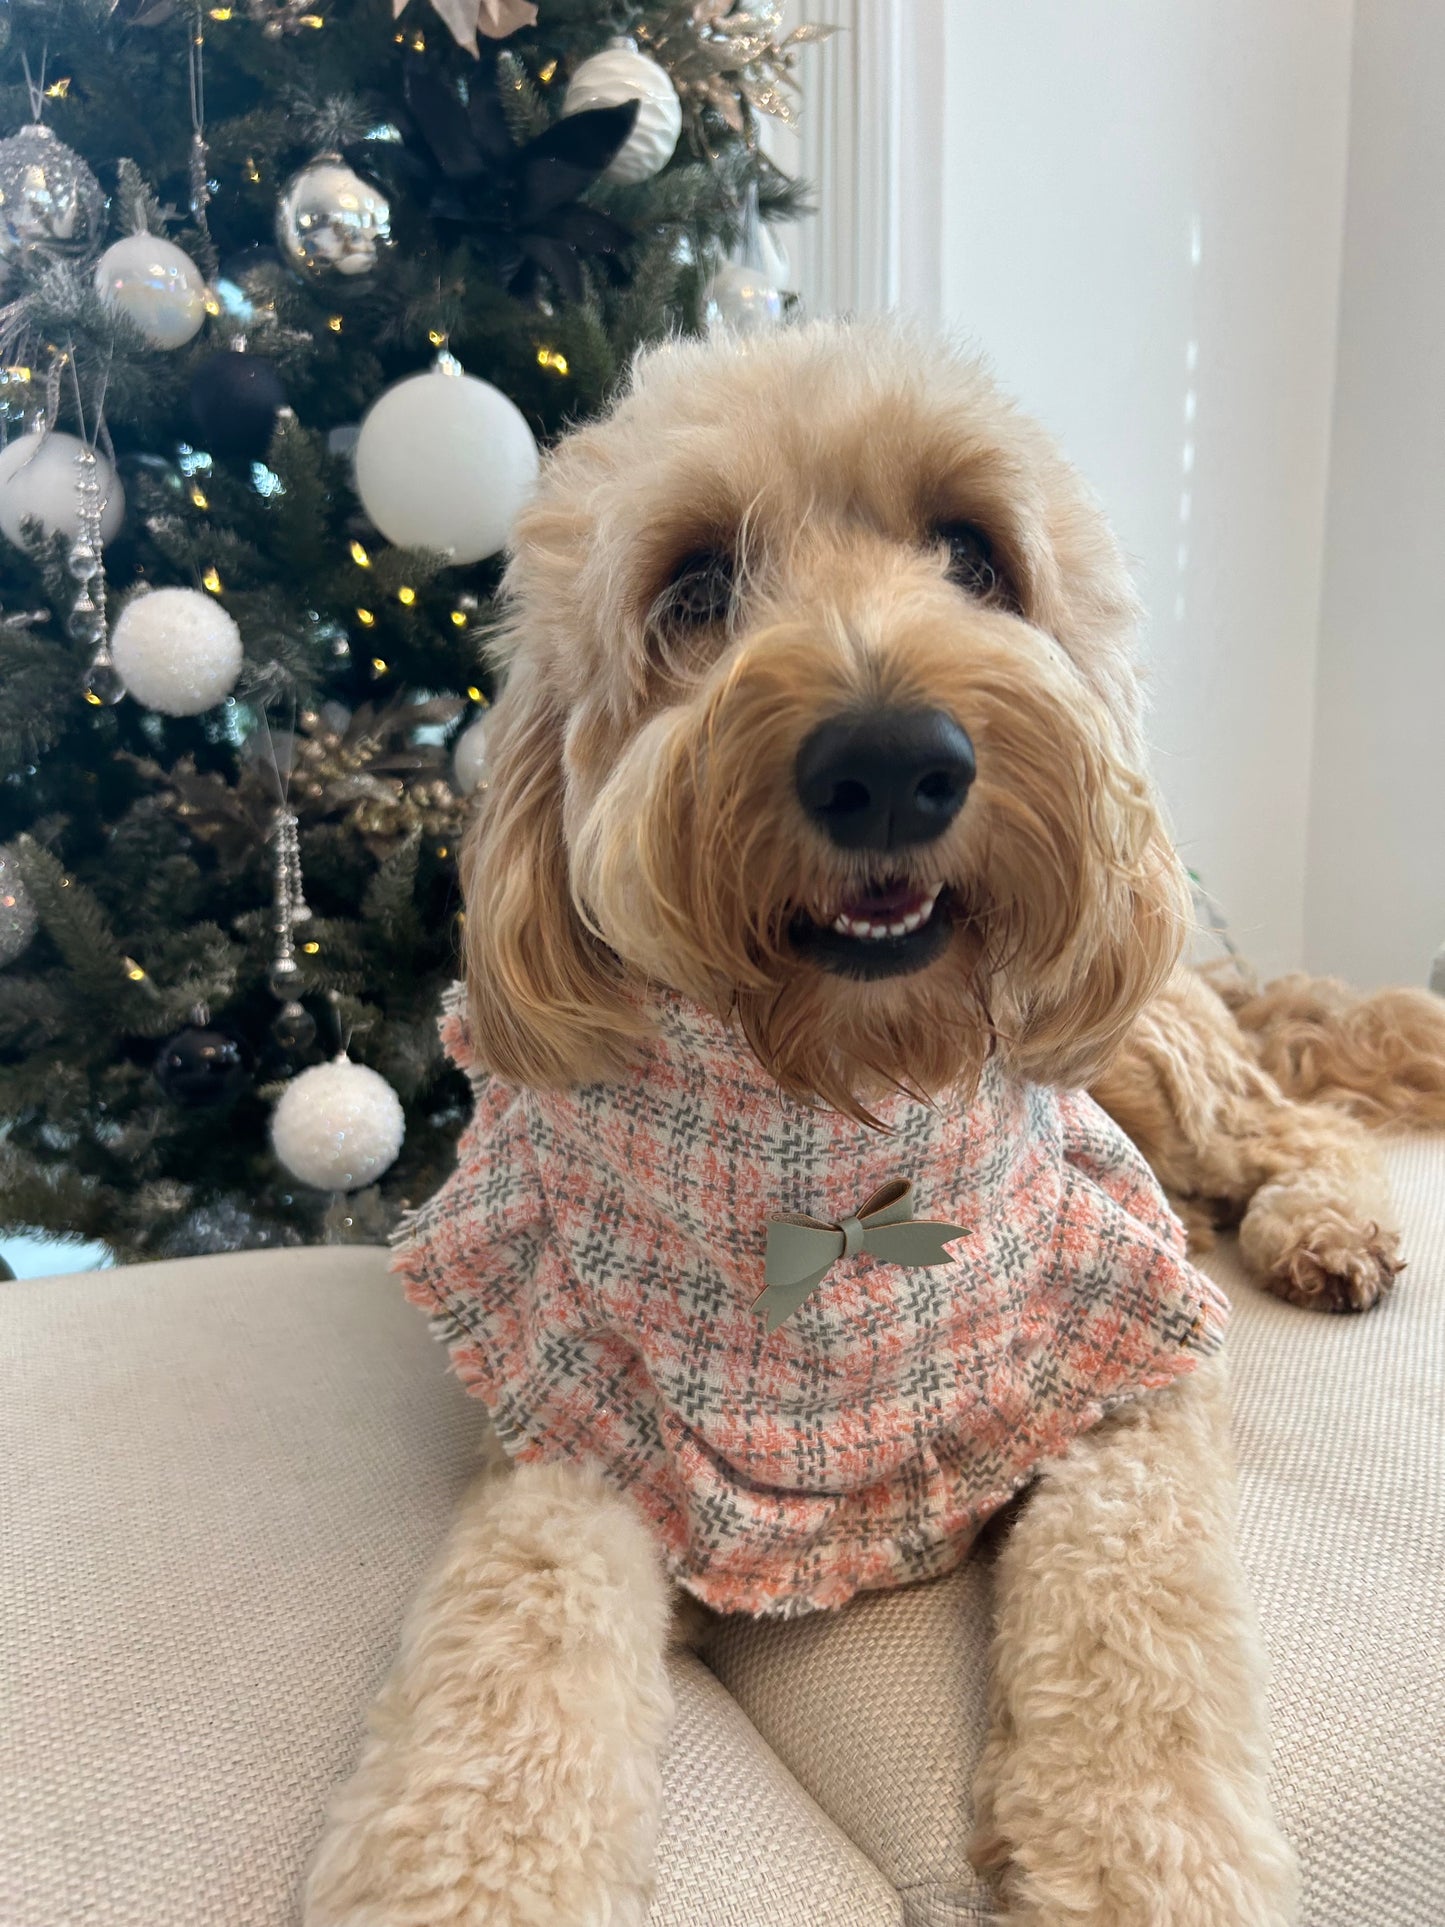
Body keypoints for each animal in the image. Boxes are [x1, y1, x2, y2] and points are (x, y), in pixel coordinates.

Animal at [300, 323, 1433, 1919]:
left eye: (972, 553)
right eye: (693, 588)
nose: (892, 761)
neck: (839, 1117)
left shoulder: (1131, 1365)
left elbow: (1137, 1626)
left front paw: (1142, 1863)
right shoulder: (570, 1423)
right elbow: (503, 1668)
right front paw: (466, 1872)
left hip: (1152, 1060)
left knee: (1299, 1131)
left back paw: (1320, 1226)